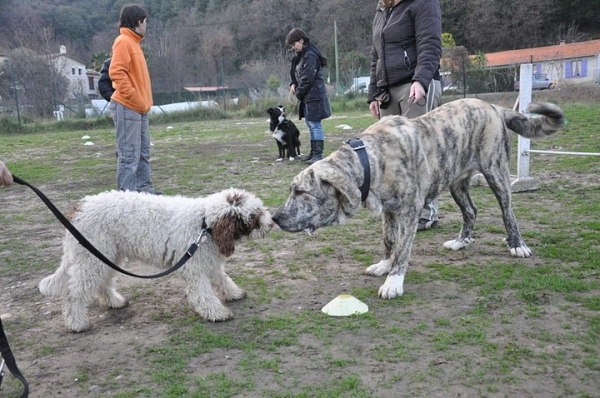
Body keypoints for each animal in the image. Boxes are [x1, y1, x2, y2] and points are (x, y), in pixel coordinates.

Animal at [37, 188, 272, 332]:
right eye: (254, 216)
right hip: (91, 259)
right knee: (74, 292)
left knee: (102, 284)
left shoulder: (208, 261)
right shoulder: (194, 268)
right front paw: (216, 313)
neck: (204, 223)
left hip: (106, 255)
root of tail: (78, 208)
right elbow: (204, 294)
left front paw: (234, 293)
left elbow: (223, 279)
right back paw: (76, 323)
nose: (272, 222)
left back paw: (114, 301)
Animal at [274, 98, 564, 298]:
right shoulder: (389, 212)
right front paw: (384, 265)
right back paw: (461, 242)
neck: (371, 161)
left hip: (496, 172)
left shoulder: (409, 212)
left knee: (507, 211)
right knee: (471, 211)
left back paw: (517, 245)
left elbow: (402, 248)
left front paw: (393, 281)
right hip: (456, 182)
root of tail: (493, 106)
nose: (276, 217)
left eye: (300, 192)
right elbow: (389, 241)